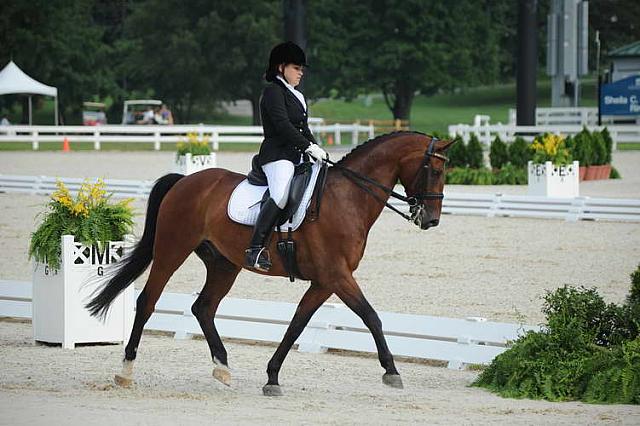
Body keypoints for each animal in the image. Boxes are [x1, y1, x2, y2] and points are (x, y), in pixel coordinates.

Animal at [86, 131, 456, 396]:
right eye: (435, 170)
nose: (431, 220)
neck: (348, 198)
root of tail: (185, 180)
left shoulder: (325, 281)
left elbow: (297, 325)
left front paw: (272, 376)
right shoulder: (337, 276)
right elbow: (371, 317)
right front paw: (391, 372)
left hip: (224, 264)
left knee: (203, 307)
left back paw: (223, 368)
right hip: (171, 250)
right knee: (148, 301)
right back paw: (125, 371)